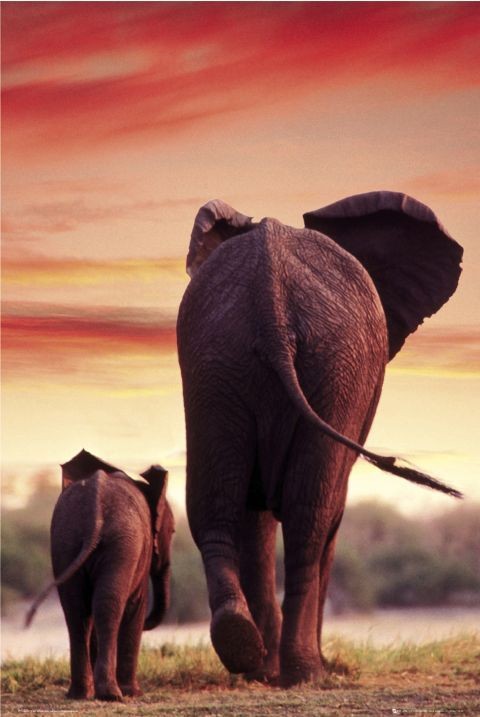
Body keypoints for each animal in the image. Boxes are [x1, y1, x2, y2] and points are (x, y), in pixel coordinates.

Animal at [25, 449, 174, 701]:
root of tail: (94, 514)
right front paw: (134, 693)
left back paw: (80, 694)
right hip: (122, 544)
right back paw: (111, 694)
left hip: (65, 540)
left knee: (77, 609)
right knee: (107, 604)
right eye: (172, 532)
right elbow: (136, 605)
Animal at [176, 191, 463, 686]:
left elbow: (254, 517)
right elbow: (326, 513)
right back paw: (306, 672)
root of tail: (269, 293)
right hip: (336, 366)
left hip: (215, 357)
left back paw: (243, 649)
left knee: (215, 504)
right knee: (311, 516)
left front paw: (262, 669)